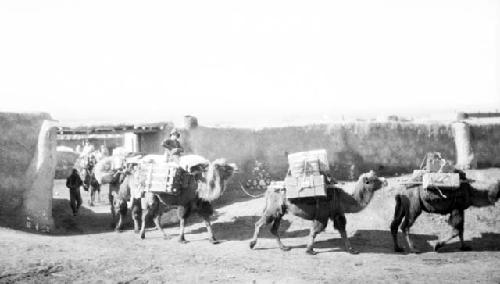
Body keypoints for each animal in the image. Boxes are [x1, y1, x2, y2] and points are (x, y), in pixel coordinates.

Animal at [249, 171, 386, 255]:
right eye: (374, 180)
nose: (385, 181)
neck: (343, 199)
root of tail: (269, 188)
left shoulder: (337, 214)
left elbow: (342, 231)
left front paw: (352, 250)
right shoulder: (322, 215)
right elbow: (315, 231)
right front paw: (310, 250)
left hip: (281, 210)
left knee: (274, 228)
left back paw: (284, 248)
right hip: (273, 208)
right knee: (259, 223)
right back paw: (252, 244)